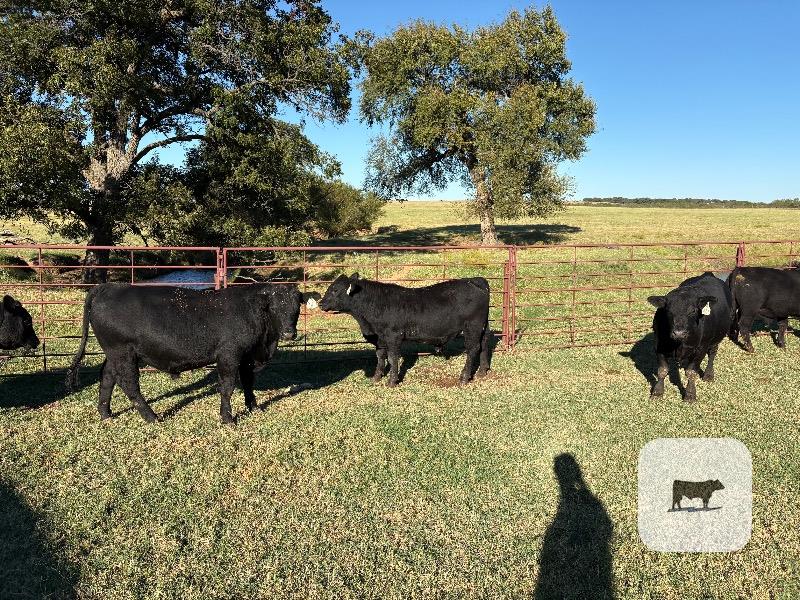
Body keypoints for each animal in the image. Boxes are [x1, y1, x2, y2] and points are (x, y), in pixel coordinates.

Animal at [66, 283, 313, 424]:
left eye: (296, 307)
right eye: (274, 307)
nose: (289, 333)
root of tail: (109, 286)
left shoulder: (247, 357)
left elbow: (248, 383)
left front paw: (254, 407)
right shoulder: (229, 355)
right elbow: (227, 387)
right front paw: (227, 418)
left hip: (114, 354)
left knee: (107, 377)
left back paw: (105, 413)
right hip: (123, 352)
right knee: (129, 384)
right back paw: (152, 417)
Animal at [318, 273, 491, 386]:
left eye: (335, 290)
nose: (320, 303)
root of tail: (474, 280)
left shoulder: (393, 336)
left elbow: (393, 357)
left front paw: (392, 381)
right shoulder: (380, 339)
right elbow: (380, 357)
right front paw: (376, 377)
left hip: (472, 327)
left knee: (473, 349)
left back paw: (464, 377)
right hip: (482, 327)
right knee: (484, 344)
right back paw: (482, 372)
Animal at [647, 272, 733, 402]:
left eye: (692, 311)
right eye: (668, 311)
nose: (679, 333)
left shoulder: (701, 348)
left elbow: (691, 372)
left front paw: (690, 394)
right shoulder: (659, 346)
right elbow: (662, 370)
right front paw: (657, 392)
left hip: (716, 339)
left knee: (712, 354)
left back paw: (708, 375)